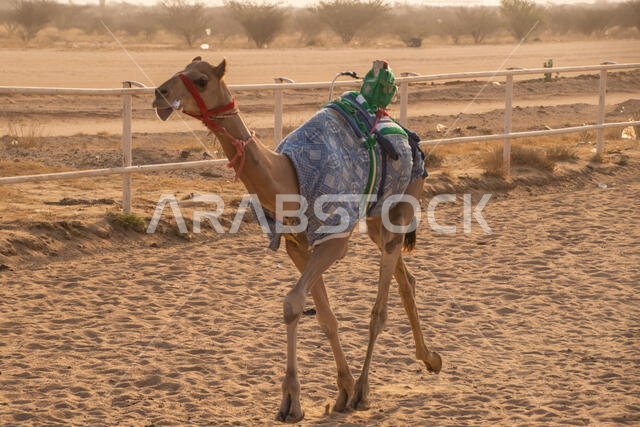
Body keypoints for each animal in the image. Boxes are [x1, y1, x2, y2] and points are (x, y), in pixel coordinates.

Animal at [152, 57, 442, 422]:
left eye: (201, 80)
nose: (159, 94)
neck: (288, 176)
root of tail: (405, 134)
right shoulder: (297, 246)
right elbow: (324, 315)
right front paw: (340, 391)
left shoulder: (334, 240)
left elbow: (292, 304)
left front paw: (294, 401)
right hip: (377, 219)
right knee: (407, 279)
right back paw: (430, 358)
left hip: (403, 201)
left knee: (380, 307)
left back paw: (365, 391)